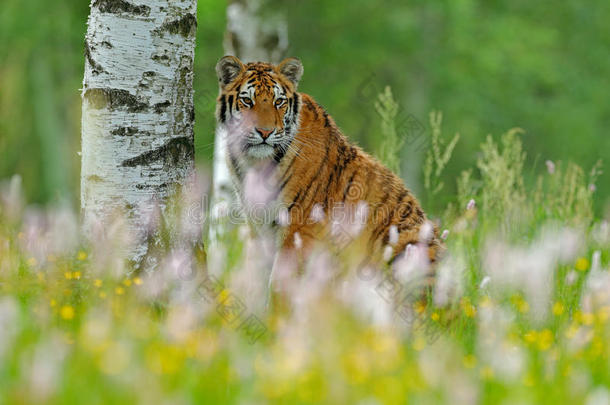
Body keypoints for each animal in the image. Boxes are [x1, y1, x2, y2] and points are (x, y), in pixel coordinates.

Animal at [216, 54, 440, 278]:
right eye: (247, 101)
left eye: (278, 102)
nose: (265, 132)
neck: (254, 162)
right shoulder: (258, 227)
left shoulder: (298, 227)